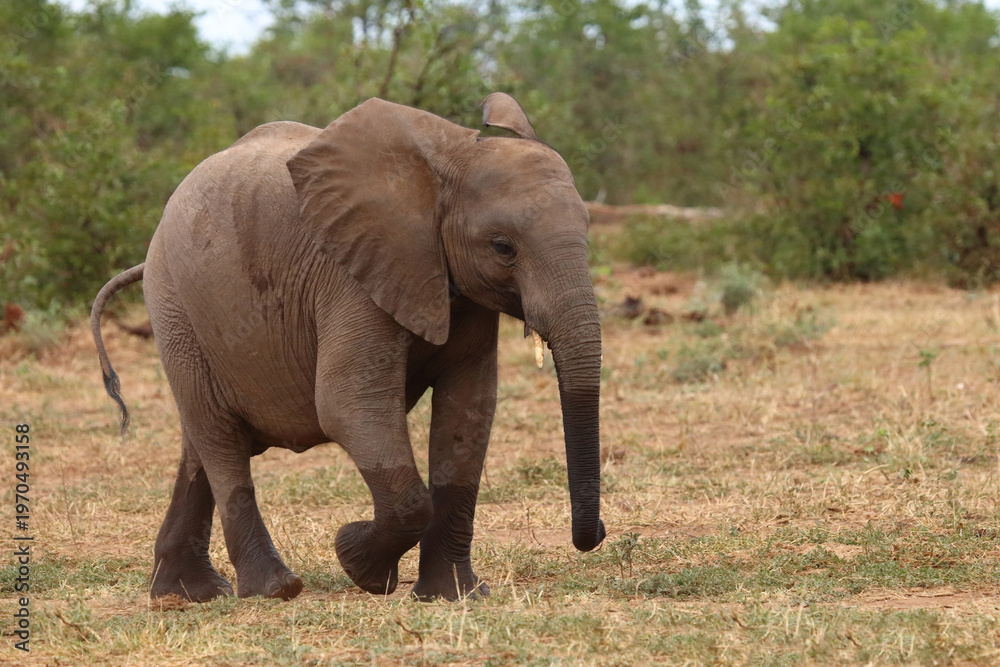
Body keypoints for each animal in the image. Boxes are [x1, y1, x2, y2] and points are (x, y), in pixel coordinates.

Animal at [90, 93, 606, 602]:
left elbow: (469, 410)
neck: (450, 158)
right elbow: (347, 405)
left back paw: (186, 592)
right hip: (176, 309)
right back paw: (273, 588)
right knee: (220, 441)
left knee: (199, 442)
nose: (595, 534)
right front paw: (359, 563)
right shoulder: (350, 276)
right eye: (503, 248)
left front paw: (456, 596)